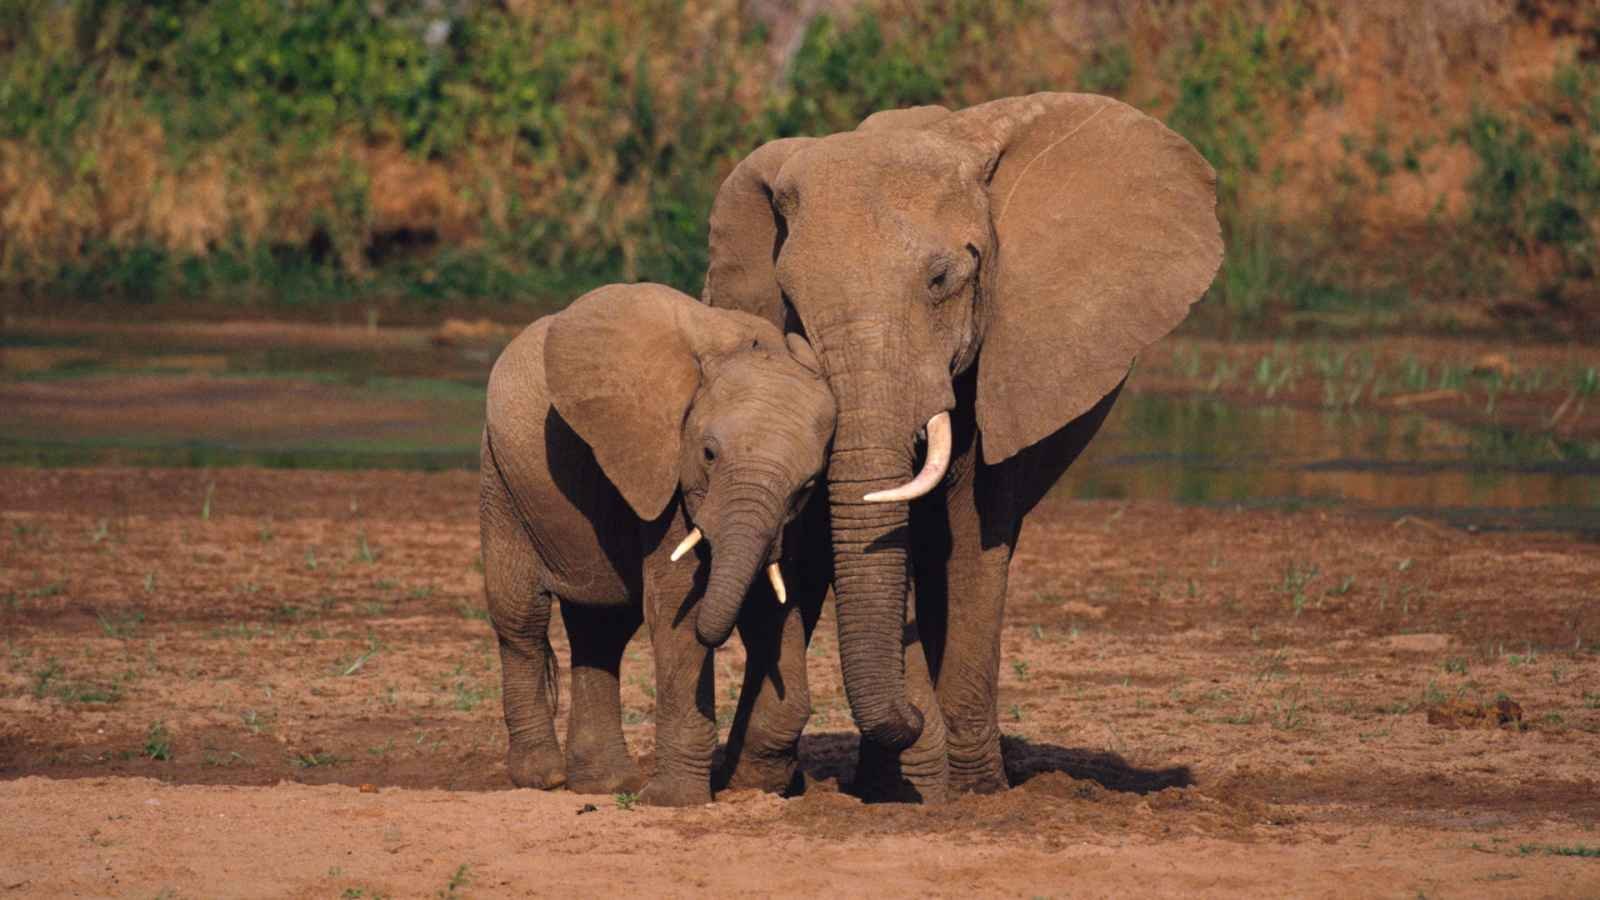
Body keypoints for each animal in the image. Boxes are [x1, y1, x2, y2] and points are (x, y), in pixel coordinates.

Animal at [479, 282, 836, 806]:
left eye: (809, 484)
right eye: (708, 454)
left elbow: (773, 605)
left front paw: (759, 786)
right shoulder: (664, 469)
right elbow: (676, 607)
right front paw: (676, 801)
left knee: (601, 629)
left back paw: (605, 785)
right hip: (502, 479)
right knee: (521, 619)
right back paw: (545, 778)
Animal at [698, 92, 1222, 801]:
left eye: (941, 280)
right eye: (791, 302)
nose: (915, 718)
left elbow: (974, 531)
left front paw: (968, 790)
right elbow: (821, 537)